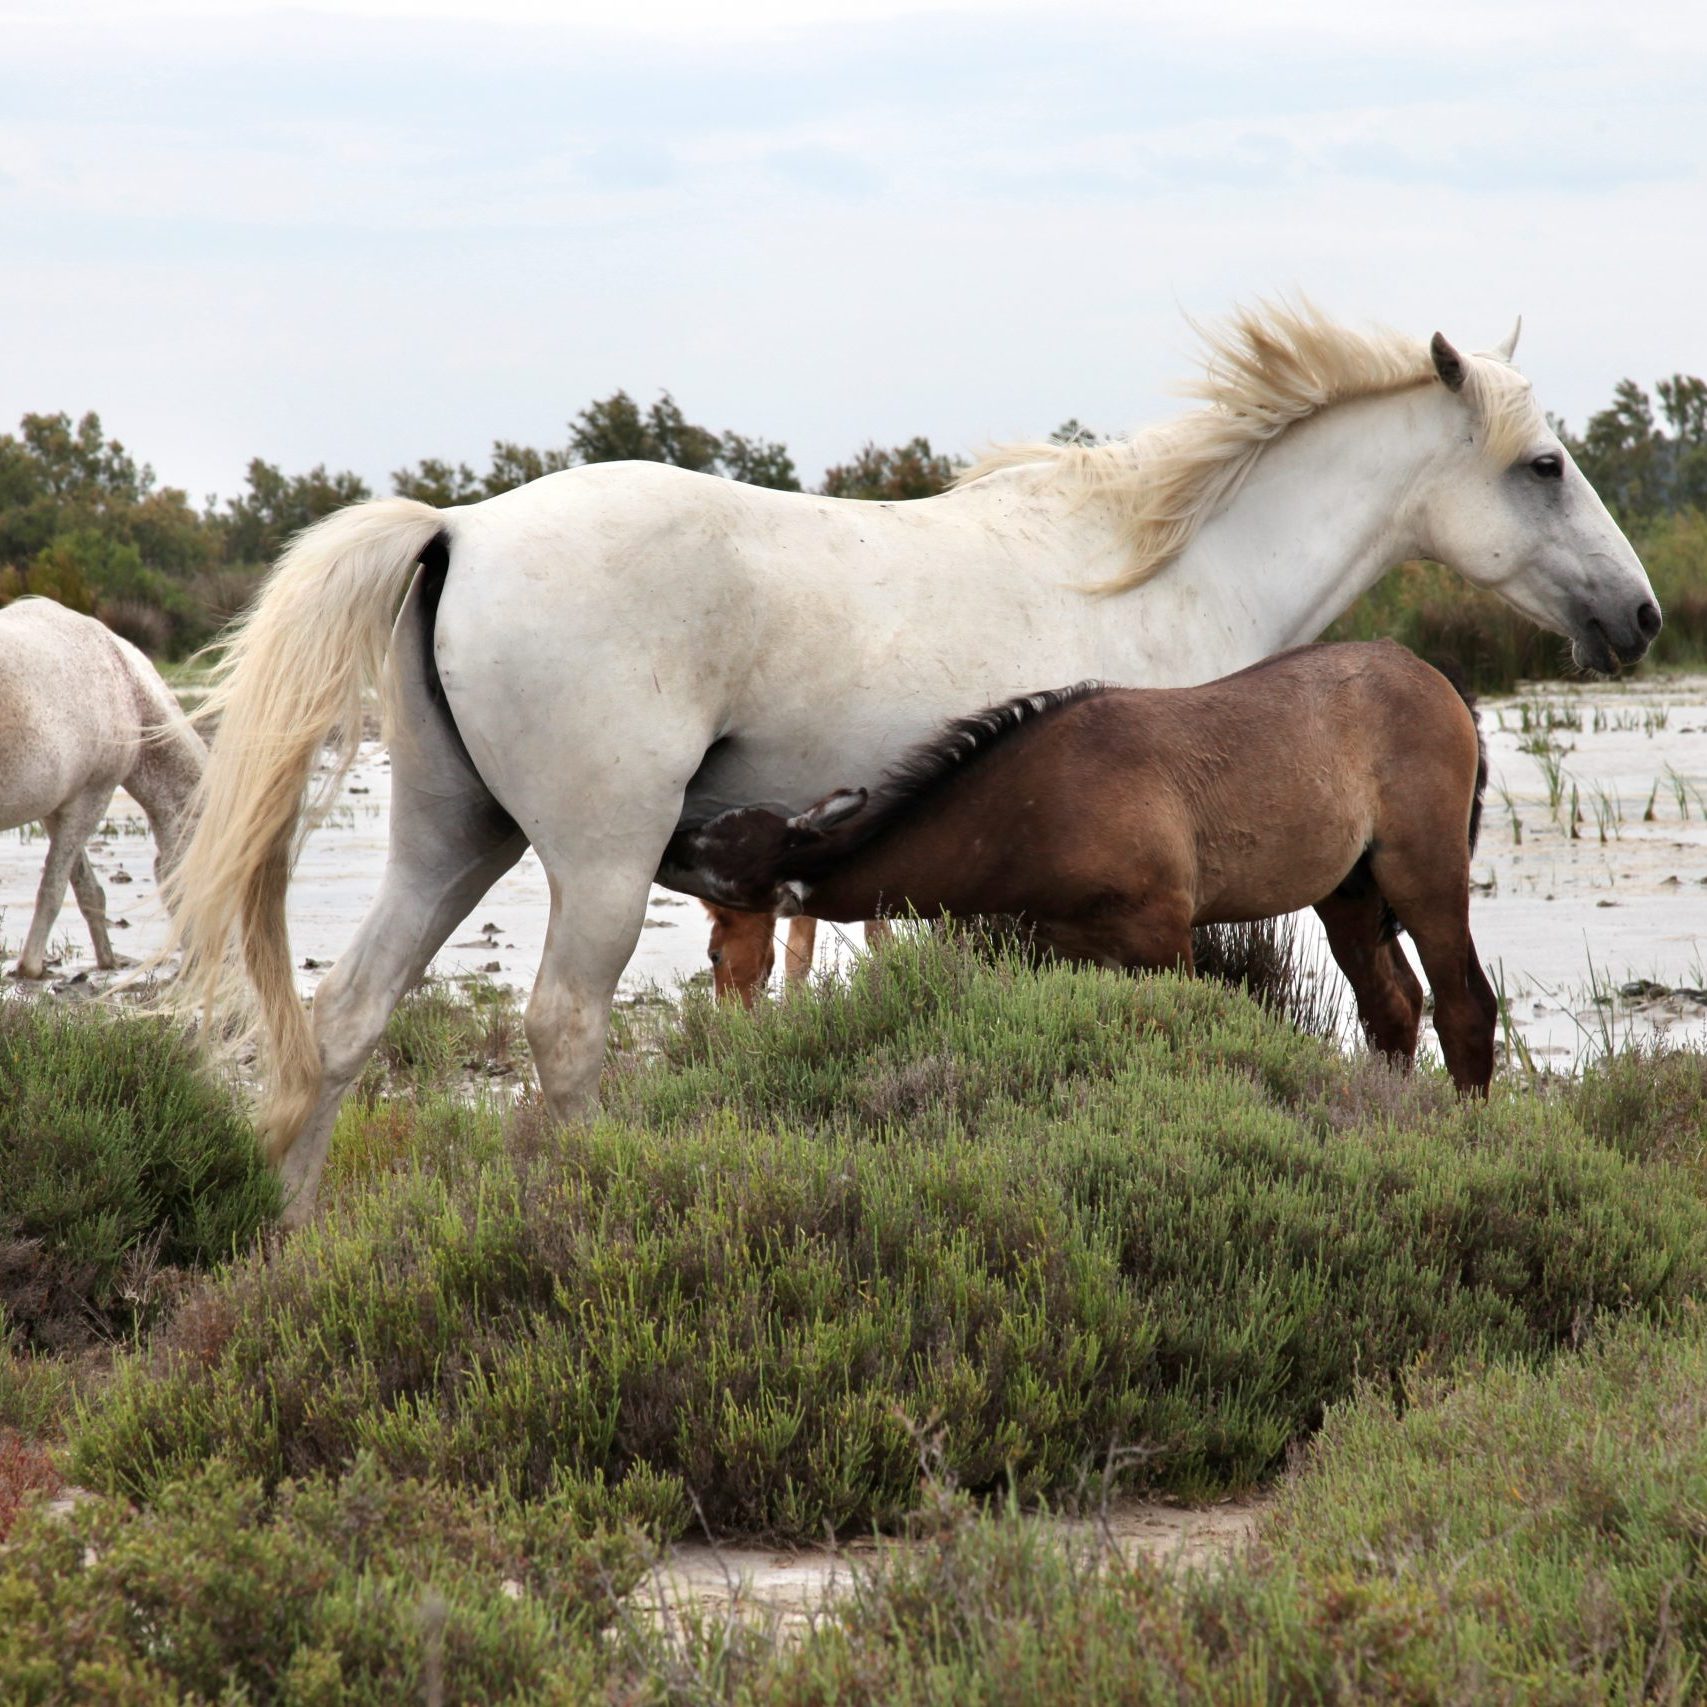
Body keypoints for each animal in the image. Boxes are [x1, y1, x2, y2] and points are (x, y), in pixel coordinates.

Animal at [0, 598, 206, 979]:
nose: (205, 960)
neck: (126, 682)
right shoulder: (92, 797)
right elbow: (53, 890)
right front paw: (30, 967)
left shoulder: (60, 806)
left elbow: (87, 889)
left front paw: (107, 961)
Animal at [669, 640, 1497, 1092]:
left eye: (714, 864)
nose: (672, 832)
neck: (1029, 810)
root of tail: (1436, 679)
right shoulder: (1062, 950)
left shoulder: (1163, 940)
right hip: (1347, 891)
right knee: (1391, 1007)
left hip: (1423, 871)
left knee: (1464, 1004)